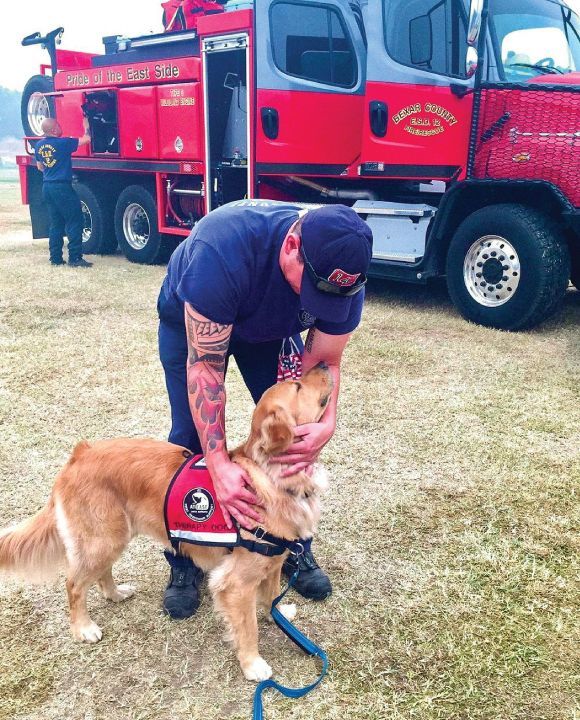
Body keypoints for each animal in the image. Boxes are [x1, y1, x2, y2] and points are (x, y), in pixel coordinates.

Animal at [0, 366, 334, 680]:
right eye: (297, 385)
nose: (323, 365)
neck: (272, 479)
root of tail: (80, 455)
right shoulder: (235, 583)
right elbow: (247, 626)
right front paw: (253, 664)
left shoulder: (272, 564)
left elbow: (271, 594)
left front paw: (278, 613)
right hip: (102, 540)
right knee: (73, 584)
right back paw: (83, 627)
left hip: (112, 537)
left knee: (99, 574)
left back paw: (115, 594)